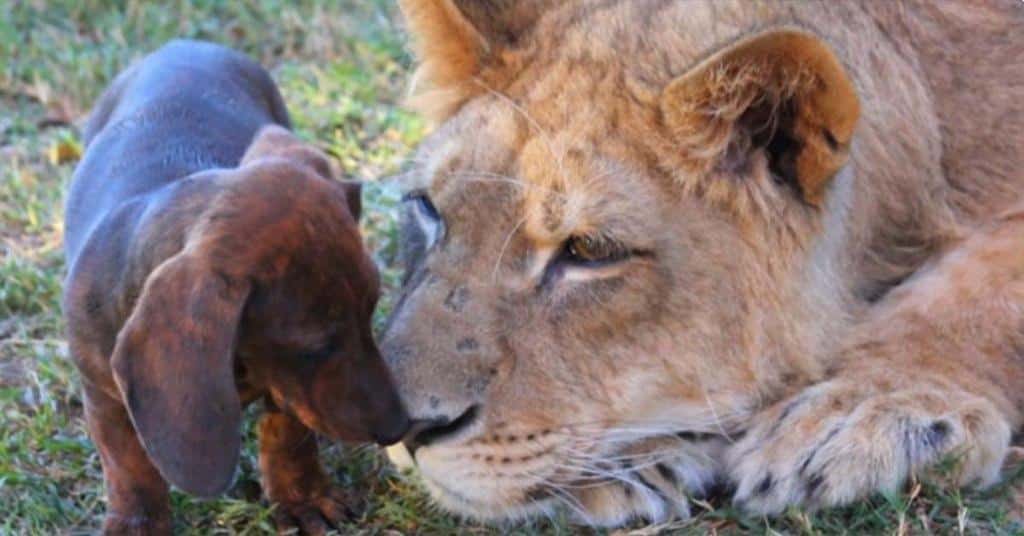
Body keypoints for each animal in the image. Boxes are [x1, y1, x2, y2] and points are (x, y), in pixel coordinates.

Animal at [60, 39, 407, 532]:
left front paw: (301, 497)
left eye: (372, 309)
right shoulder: (104, 396)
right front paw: (137, 523)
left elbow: (288, 434)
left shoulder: (288, 386)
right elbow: (130, 470)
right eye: (315, 346)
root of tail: (183, 43)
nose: (399, 427)